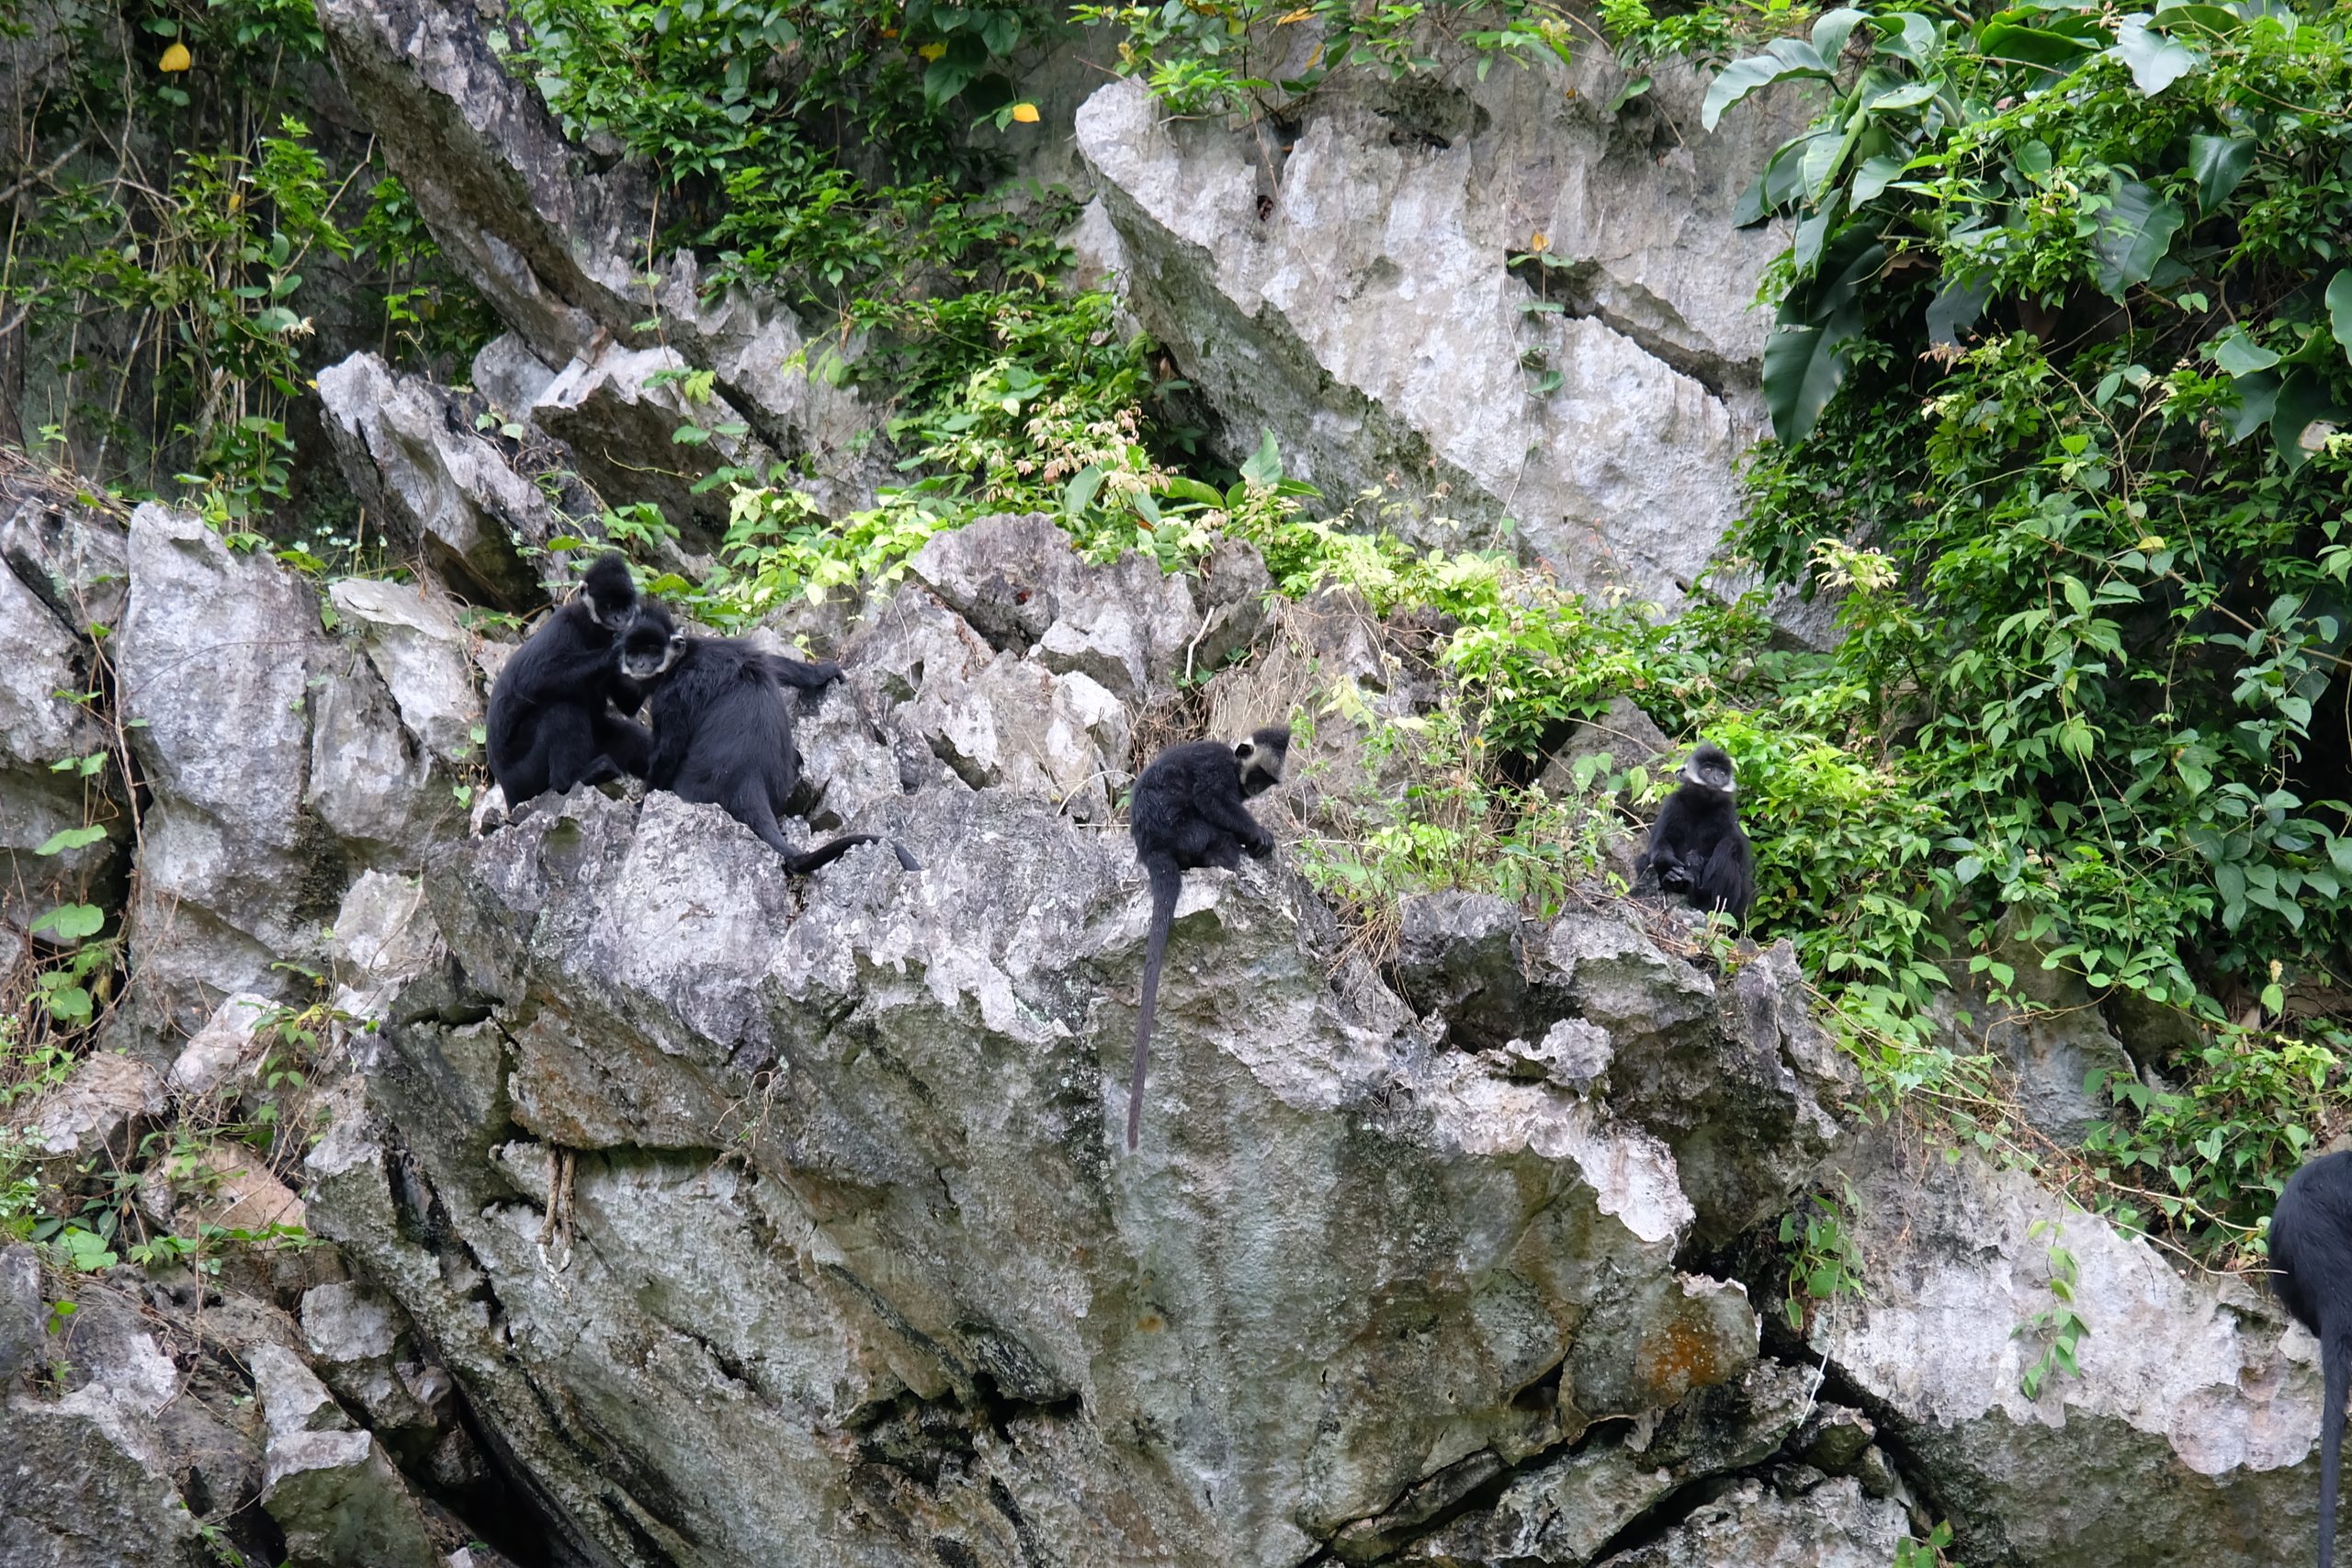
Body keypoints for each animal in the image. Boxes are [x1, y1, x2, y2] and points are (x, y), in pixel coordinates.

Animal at [486, 552, 653, 804]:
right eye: (609, 606)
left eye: (625, 606)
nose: (620, 618)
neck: (592, 627)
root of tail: (507, 788)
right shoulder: (564, 624)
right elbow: (534, 677)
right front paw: (616, 651)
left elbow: (628, 705)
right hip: (525, 774)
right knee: (563, 710)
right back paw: (573, 778)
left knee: (633, 738)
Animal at [616, 602, 917, 879]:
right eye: (634, 652)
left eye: (651, 652)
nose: (638, 664)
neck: (685, 657)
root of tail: (749, 782)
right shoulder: (731, 648)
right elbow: (774, 664)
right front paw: (825, 672)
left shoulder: (675, 692)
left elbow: (667, 752)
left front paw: (643, 803)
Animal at [1114, 728, 1288, 1152]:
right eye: (1258, 775)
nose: (1255, 789)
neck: (1234, 764)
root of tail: (1152, 847)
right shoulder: (1216, 770)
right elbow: (1212, 798)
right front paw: (1259, 834)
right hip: (1183, 829)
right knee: (1213, 833)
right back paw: (1225, 853)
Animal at [1636, 747, 1749, 926]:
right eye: (1708, 770)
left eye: (1722, 773)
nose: (1717, 779)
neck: (1701, 806)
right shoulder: (1673, 803)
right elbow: (1660, 842)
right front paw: (1669, 865)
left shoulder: (1726, 812)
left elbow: (1732, 843)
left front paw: (1695, 861)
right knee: (1643, 859)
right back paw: (1669, 879)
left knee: (1729, 846)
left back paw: (1697, 893)